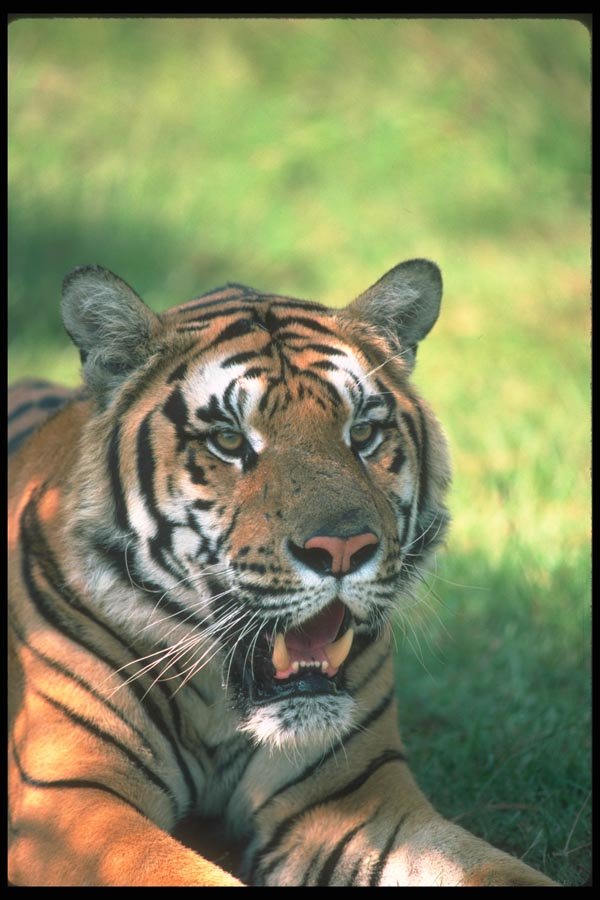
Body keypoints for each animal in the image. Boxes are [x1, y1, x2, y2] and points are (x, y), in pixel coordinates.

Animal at [8, 259, 557, 886]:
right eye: (228, 440)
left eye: (362, 433)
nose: (342, 549)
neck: (221, 706)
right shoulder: (72, 800)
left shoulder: (358, 798)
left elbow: (488, 867)